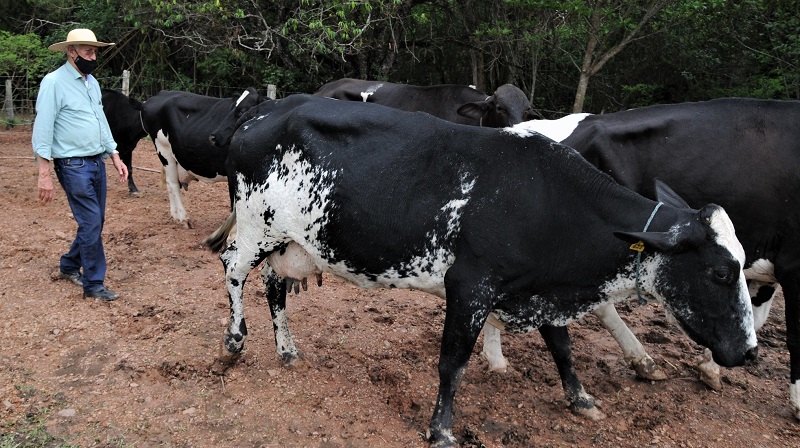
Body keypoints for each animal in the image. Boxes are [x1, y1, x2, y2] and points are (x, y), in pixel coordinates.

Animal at [138, 87, 262, 228]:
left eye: (242, 111)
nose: (214, 137)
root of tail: (161, 93)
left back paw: (175, 216)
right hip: (164, 149)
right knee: (172, 183)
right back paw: (183, 218)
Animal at [205, 95, 756, 448]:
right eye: (720, 274)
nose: (750, 352)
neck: (547, 199)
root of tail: (265, 110)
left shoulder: (539, 290)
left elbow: (562, 346)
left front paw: (581, 398)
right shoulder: (470, 286)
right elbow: (453, 361)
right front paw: (442, 430)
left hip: (295, 243)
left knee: (275, 285)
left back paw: (287, 350)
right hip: (256, 225)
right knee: (233, 267)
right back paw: (233, 341)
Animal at [506, 97, 800, 420]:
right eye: (721, 273)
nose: (747, 354)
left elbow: (752, 319)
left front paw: (712, 367)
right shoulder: (794, 265)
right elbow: (795, 336)